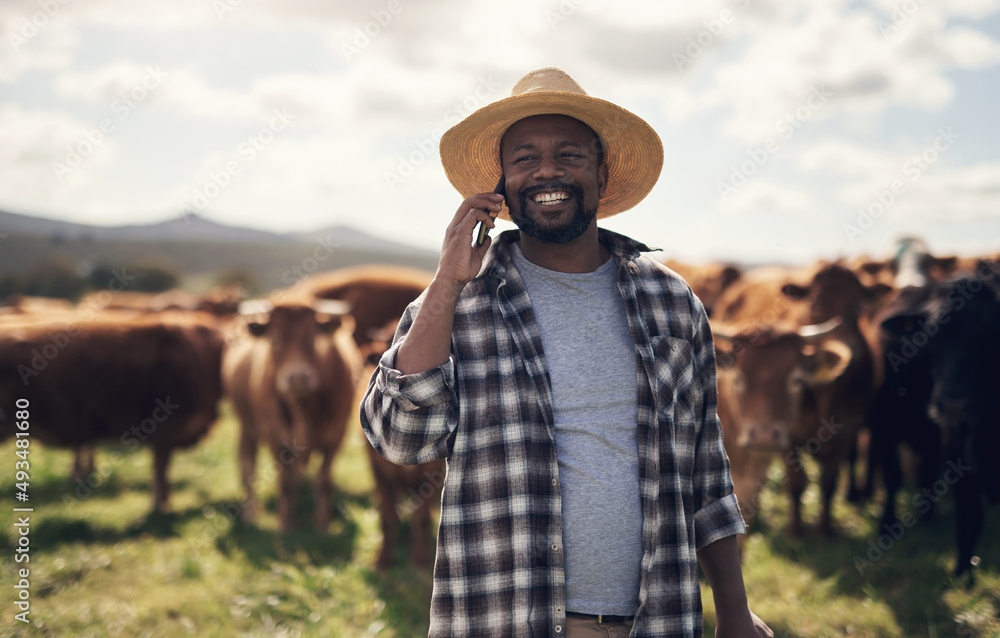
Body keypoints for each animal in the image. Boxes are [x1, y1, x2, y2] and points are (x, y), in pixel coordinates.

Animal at [221, 296, 362, 536]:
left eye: (313, 337)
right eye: (274, 338)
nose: (297, 378)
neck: (304, 409)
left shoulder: (336, 436)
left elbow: (323, 479)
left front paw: (322, 523)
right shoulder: (276, 437)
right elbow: (285, 482)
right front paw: (285, 525)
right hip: (247, 426)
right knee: (247, 464)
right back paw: (251, 515)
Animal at [884, 260, 1000, 580]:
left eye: (990, 335)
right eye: (930, 337)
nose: (953, 404)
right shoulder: (956, 450)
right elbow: (968, 516)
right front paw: (961, 574)